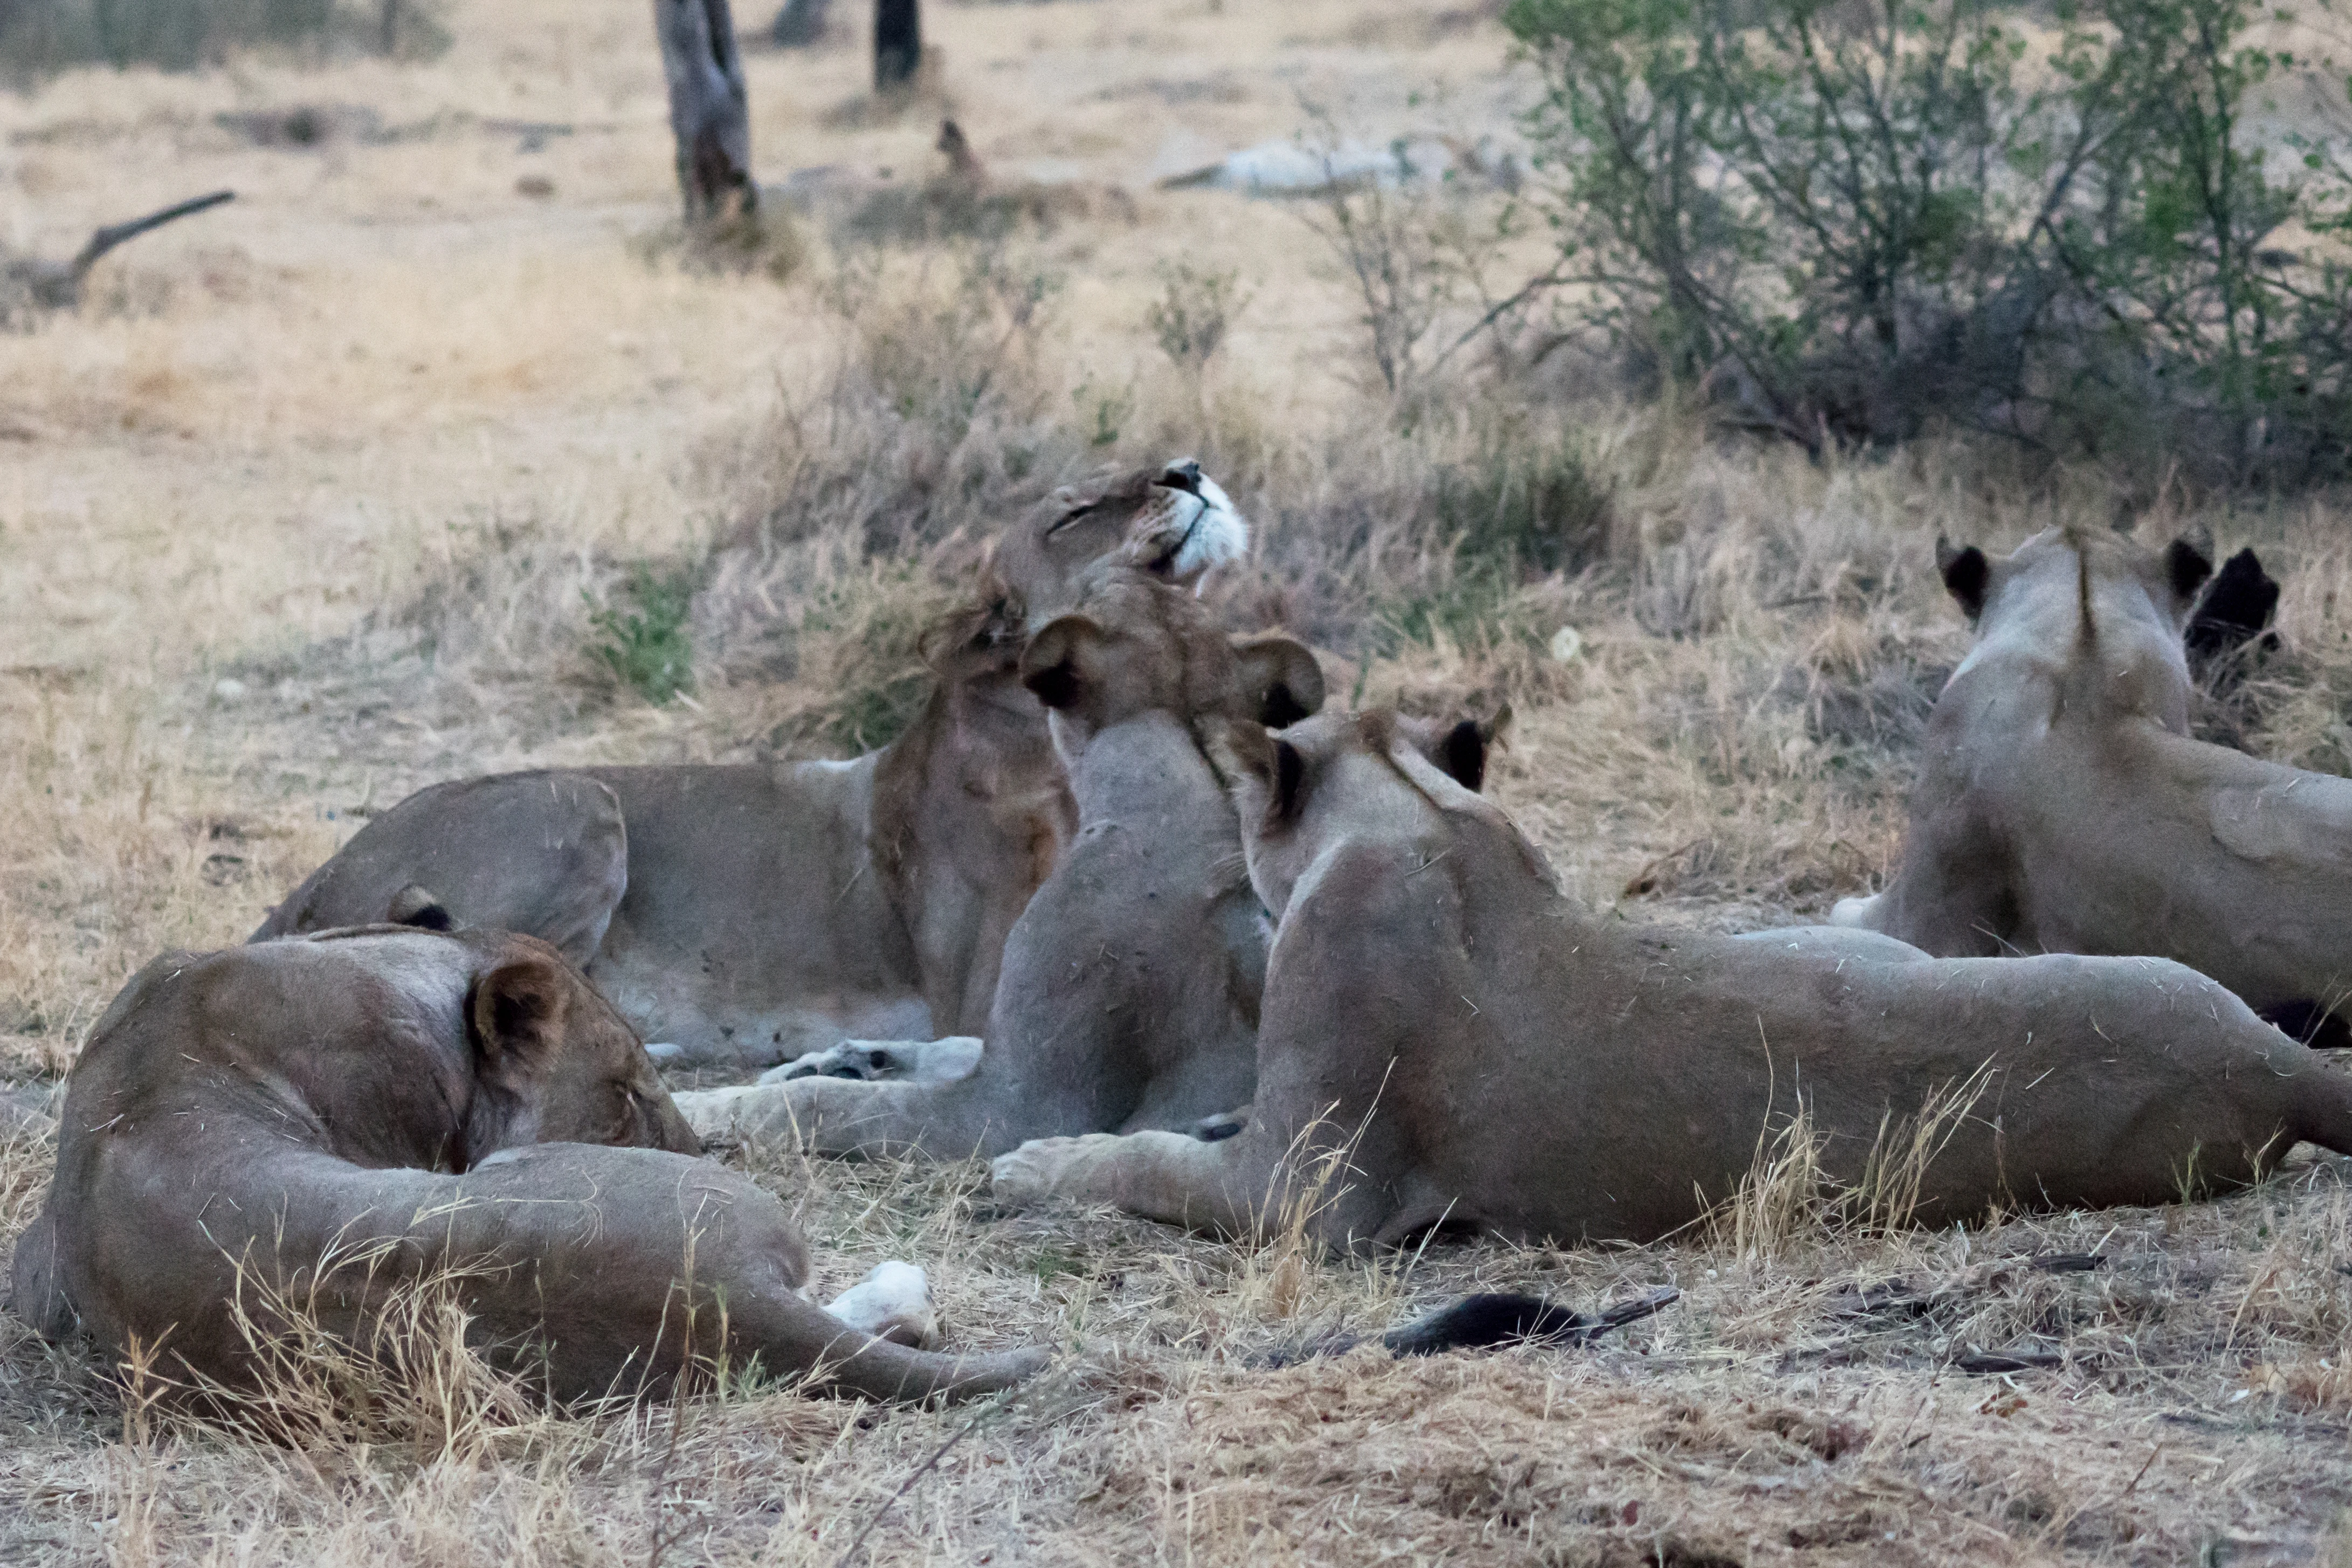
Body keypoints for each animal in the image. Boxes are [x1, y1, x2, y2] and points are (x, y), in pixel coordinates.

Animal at [672, 565, 1325, 1158]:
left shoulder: (1027, 1107)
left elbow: (826, 1108)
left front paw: (704, 1105)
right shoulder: (1004, 1059)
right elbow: (951, 1046)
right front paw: (837, 1060)